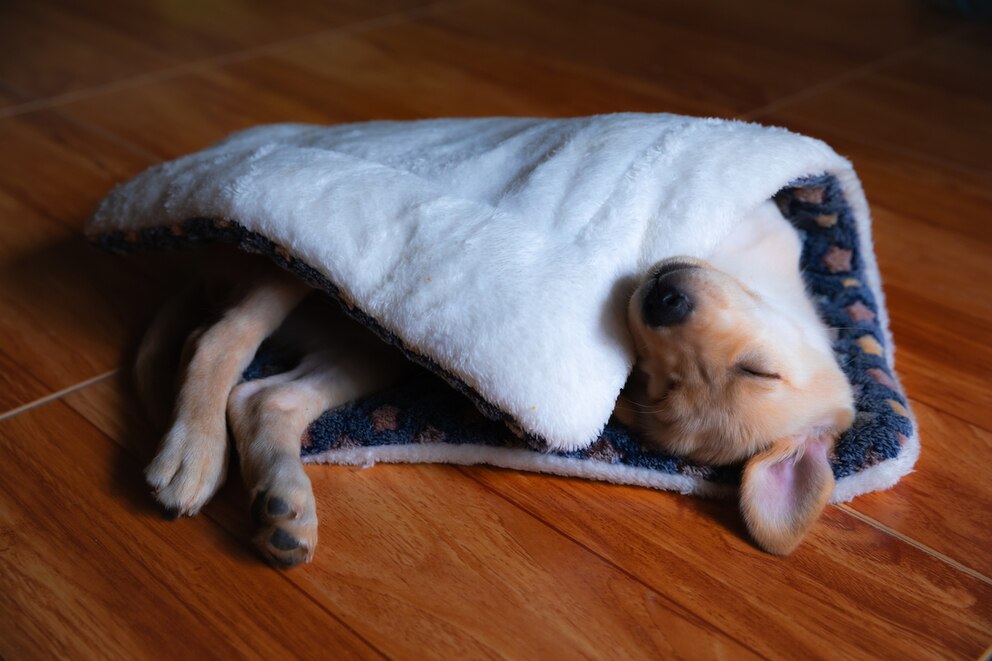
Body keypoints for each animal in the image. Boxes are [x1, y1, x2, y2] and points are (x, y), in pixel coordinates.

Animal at [138, 199, 852, 564]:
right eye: (760, 369)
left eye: (643, 384)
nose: (662, 300)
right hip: (287, 260)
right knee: (218, 342)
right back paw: (194, 452)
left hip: (367, 338)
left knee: (257, 391)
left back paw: (279, 509)